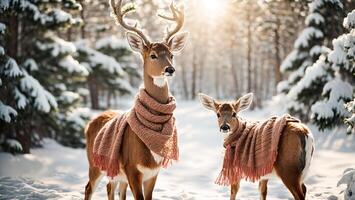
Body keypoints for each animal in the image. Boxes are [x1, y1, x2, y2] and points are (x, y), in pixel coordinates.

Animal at [84, 0, 189, 199]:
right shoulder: (132, 168)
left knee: (112, 188)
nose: (170, 69)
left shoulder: (153, 173)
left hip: (115, 172)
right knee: (89, 188)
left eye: (171, 54)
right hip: (95, 163)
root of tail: (89, 123)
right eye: (153, 55)